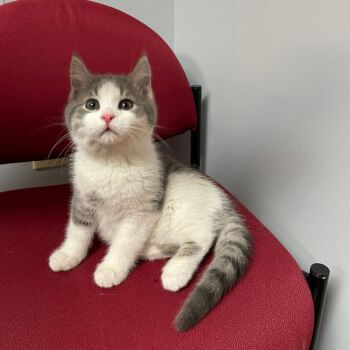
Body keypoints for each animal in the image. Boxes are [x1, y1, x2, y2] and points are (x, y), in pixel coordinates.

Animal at [48, 54, 252, 330]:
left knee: (202, 237)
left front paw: (111, 269)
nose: (108, 116)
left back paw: (175, 271)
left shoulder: (142, 210)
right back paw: (150, 251)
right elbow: (78, 230)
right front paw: (68, 255)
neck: (112, 161)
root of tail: (224, 202)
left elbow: (125, 242)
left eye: (125, 104)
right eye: (91, 104)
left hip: (180, 201)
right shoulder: (82, 196)